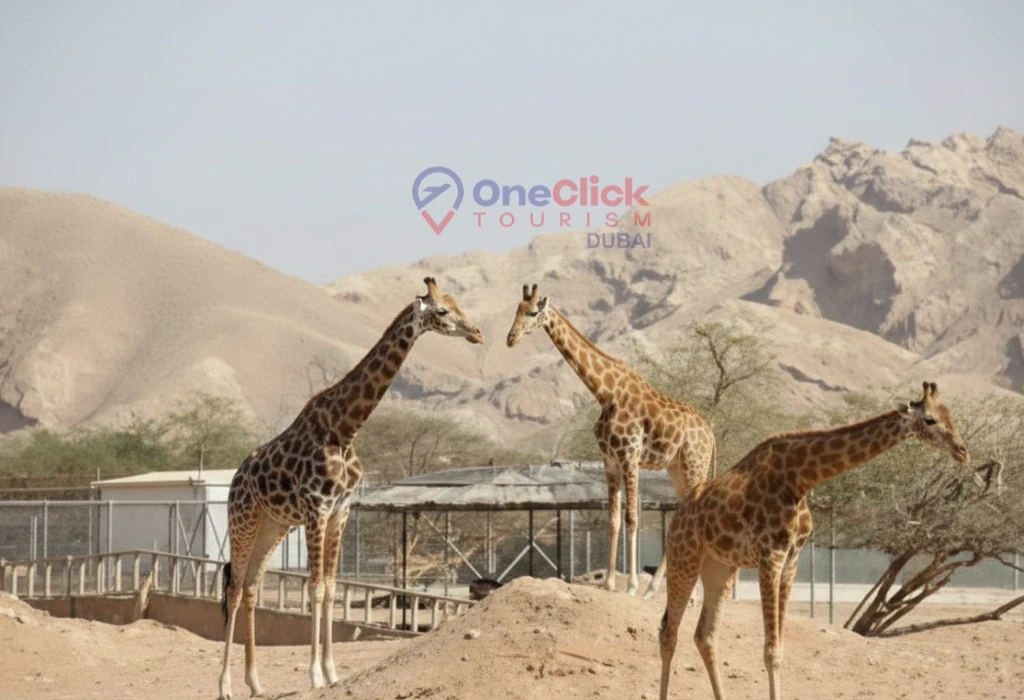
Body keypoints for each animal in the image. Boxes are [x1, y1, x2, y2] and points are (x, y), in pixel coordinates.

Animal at [217, 277, 484, 700]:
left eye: (458, 304)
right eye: (442, 310)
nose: (476, 332)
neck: (345, 429)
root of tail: (237, 477)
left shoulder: (341, 511)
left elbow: (331, 586)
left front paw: (331, 672)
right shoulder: (317, 509)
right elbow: (315, 589)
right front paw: (314, 674)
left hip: (273, 526)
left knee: (252, 587)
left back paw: (255, 682)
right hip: (242, 519)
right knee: (235, 588)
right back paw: (225, 686)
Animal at [506, 283, 716, 598]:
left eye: (532, 312)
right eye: (515, 310)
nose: (511, 338)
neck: (605, 392)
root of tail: (711, 433)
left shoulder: (630, 455)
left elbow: (632, 518)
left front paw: (630, 586)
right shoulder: (609, 460)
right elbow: (613, 519)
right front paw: (607, 583)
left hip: (695, 464)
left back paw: (674, 591)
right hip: (676, 468)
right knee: (682, 512)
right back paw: (653, 589)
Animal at [658, 381, 970, 700]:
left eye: (950, 415)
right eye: (930, 420)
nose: (963, 451)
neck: (800, 479)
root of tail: (678, 514)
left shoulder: (791, 560)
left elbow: (778, 650)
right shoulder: (770, 556)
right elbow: (770, 651)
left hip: (719, 567)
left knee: (705, 636)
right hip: (684, 558)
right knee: (669, 634)